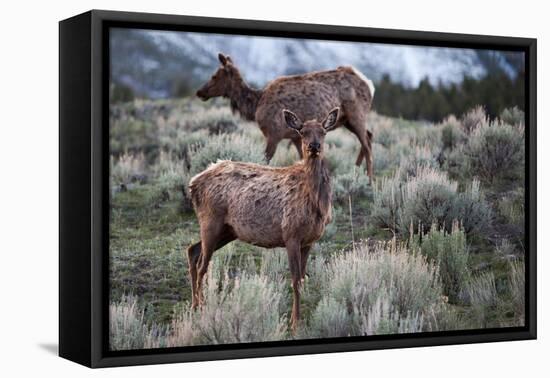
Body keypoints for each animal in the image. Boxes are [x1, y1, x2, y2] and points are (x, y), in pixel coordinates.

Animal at [187, 106, 340, 330]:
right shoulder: (291, 234)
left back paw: (195, 306)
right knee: (201, 265)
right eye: (302, 132)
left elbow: (303, 279)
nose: (314, 146)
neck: (316, 204)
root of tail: (193, 183)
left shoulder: (309, 241)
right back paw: (201, 309)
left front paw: (300, 320)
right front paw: (294, 323)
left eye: (323, 131)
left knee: (192, 251)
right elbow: (295, 280)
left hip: (228, 230)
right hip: (210, 220)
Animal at [196, 53, 378, 182]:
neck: (255, 106)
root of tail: (369, 84)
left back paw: (369, 181)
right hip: (346, 120)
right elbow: (301, 159)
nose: (199, 92)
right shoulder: (295, 137)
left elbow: (265, 161)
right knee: (369, 137)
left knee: (367, 144)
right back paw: (356, 174)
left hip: (357, 114)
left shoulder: (274, 133)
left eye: (214, 76)